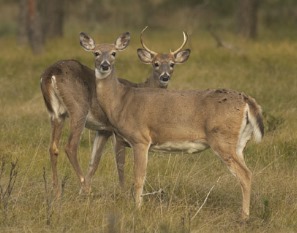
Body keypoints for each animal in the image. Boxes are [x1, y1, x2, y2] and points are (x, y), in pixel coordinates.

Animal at [39, 27, 190, 195]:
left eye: (172, 64)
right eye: (155, 64)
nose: (165, 77)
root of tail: (51, 73)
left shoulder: (103, 129)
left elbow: (94, 161)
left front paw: (83, 192)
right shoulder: (117, 132)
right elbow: (120, 163)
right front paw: (122, 192)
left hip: (56, 113)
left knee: (53, 147)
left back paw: (57, 191)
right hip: (79, 108)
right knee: (70, 146)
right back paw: (80, 184)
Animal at [80, 30, 262, 218]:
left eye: (114, 53)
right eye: (96, 53)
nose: (105, 65)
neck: (121, 101)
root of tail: (247, 100)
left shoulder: (140, 139)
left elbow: (138, 178)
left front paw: (138, 208)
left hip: (222, 139)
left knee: (245, 175)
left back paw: (244, 216)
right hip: (239, 143)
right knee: (247, 173)